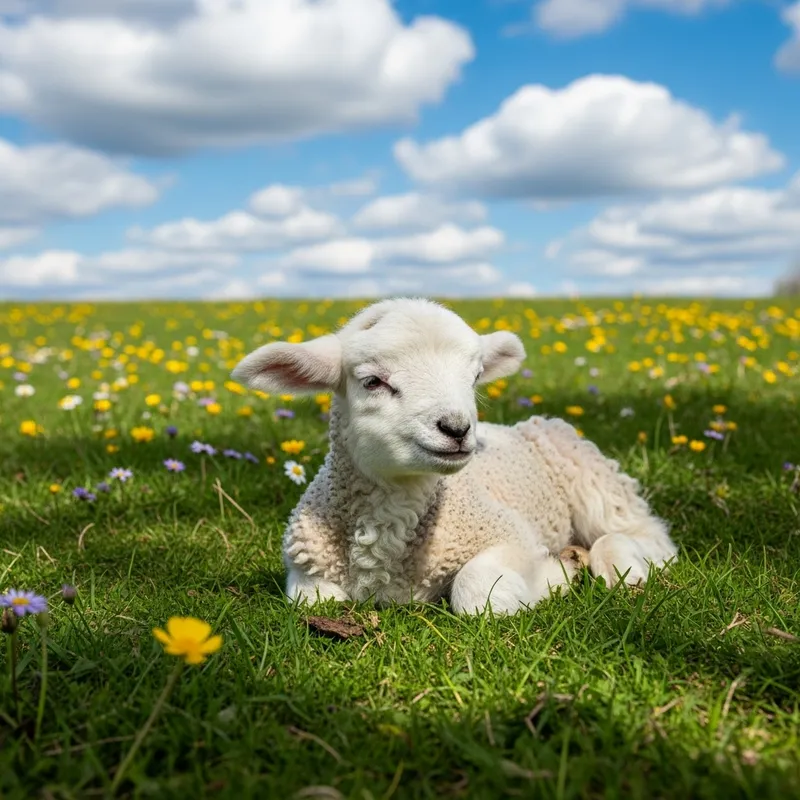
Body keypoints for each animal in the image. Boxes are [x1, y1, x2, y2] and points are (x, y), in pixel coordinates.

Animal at [231, 297, 677, 615]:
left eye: (475, 376)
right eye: (372, 381)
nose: (458, 429)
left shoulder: (511, 535)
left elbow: (479, 596)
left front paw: (559, 574)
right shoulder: (306, 566)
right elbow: (314, 600)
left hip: (596, 485)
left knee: (646, 535)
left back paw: (615, 563)